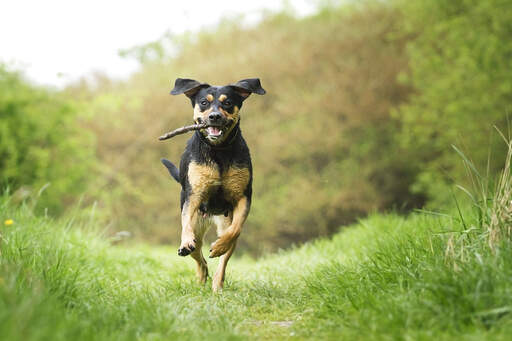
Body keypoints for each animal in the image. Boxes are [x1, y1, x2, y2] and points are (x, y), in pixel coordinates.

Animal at [161, 77, 266, 290]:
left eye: (228, 102)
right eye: (204, 102)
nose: (215, 116)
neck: (218, 150)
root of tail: (212, 216)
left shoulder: (243, 196)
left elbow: (235, 229)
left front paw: (219, 246)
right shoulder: (194, 195)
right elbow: (186, 222)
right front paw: (185, 241)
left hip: (226, 225)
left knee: (222, 261)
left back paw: (217, 285)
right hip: (198, 228)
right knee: (199, 257)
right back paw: (200, 276)